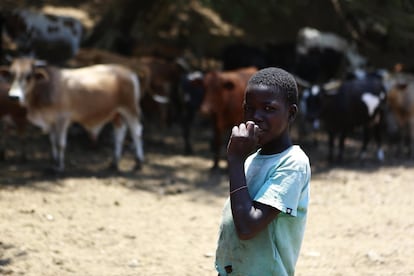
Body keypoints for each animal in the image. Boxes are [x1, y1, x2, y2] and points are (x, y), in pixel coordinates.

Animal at [2, 57, 144, 172]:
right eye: (11, 74)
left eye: (28, 76)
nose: (13, 96)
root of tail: (129, 72)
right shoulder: (50, 120)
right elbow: (52, 142)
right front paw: (54, 162)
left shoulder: (62, 119)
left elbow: (60, 143)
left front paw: (59, 167)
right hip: (116, 113)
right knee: (119, 133)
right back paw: (114, 162)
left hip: (130, 109)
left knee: (136, 132)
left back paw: (139, 161)